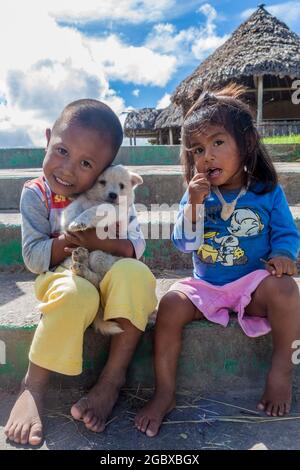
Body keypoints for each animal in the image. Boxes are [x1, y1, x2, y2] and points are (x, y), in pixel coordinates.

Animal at [61, 164, 143, 334]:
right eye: (102, 182)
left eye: (122, 186)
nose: (113, 195)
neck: (96, 199)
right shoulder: (82, 200)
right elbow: (73, 208)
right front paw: (67, 221)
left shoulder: (114, 209)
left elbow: (95, 210)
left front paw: (79, 222)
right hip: (67, 260)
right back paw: (80, 258)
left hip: (100, 256)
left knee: (97, 280)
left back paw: (82, 267)